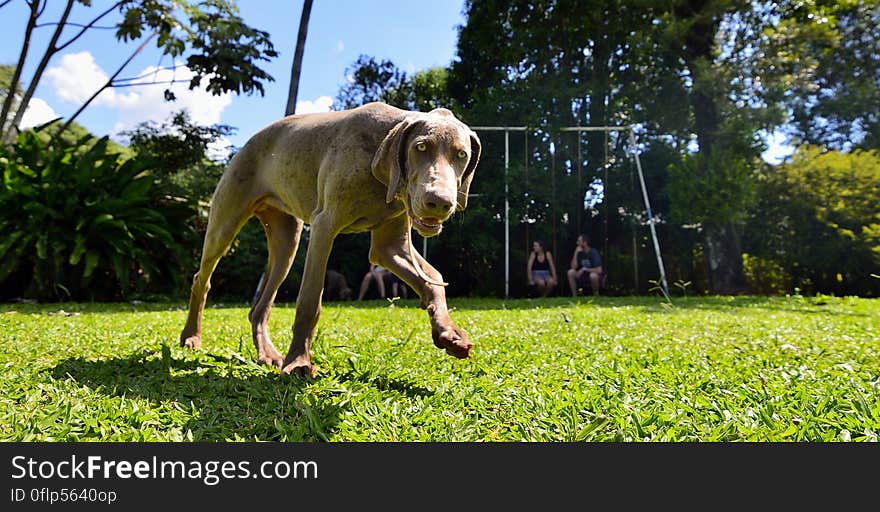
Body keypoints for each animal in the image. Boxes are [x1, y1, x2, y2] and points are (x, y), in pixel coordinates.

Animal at [179, 103, 482, 376]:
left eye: (461, 154)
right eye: (420, 147)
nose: (439, 203)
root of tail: (249, 142)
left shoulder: (390, 247)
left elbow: (433, 278)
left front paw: (448, 332)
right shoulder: (324, 226)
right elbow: (309, 300)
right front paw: (298, 362)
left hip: (287, 240)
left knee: (260, 307)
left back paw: (267, 353)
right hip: (225, 222)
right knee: (202, 280)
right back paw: (191, 337)